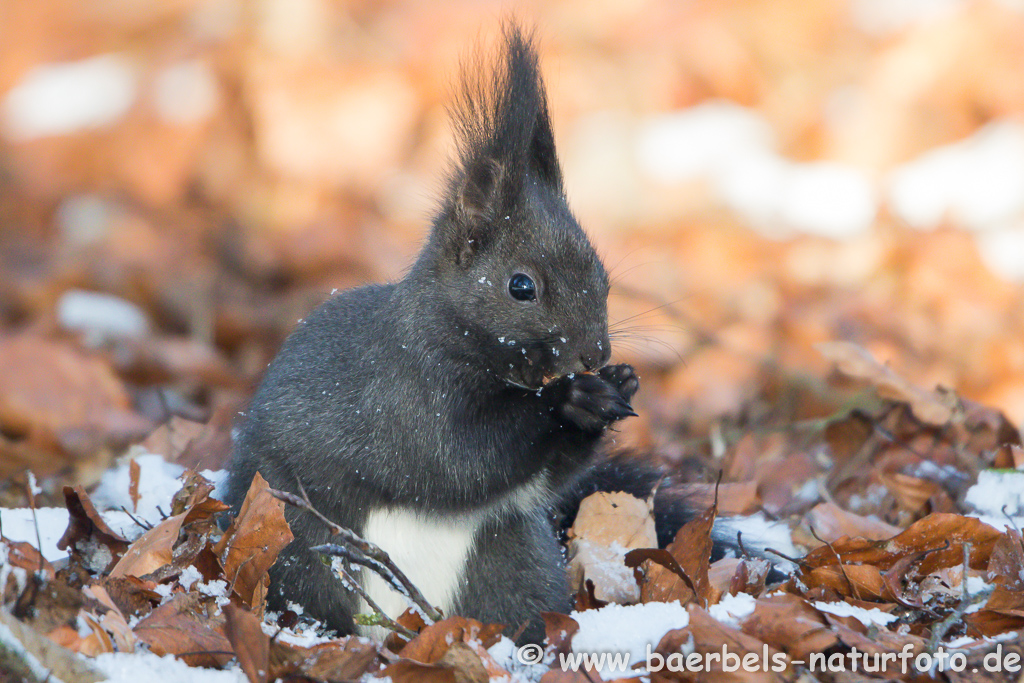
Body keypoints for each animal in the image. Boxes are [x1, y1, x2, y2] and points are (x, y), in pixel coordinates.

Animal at [224, 25, 704, 647]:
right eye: (521, 286)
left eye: (603, 276)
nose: (595, 353)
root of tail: (402, 630)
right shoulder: (403, 393)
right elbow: (455, 456)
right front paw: (571, 398)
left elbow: (540, 480)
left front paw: (617, 384)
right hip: (301, 545)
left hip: (510, 563)